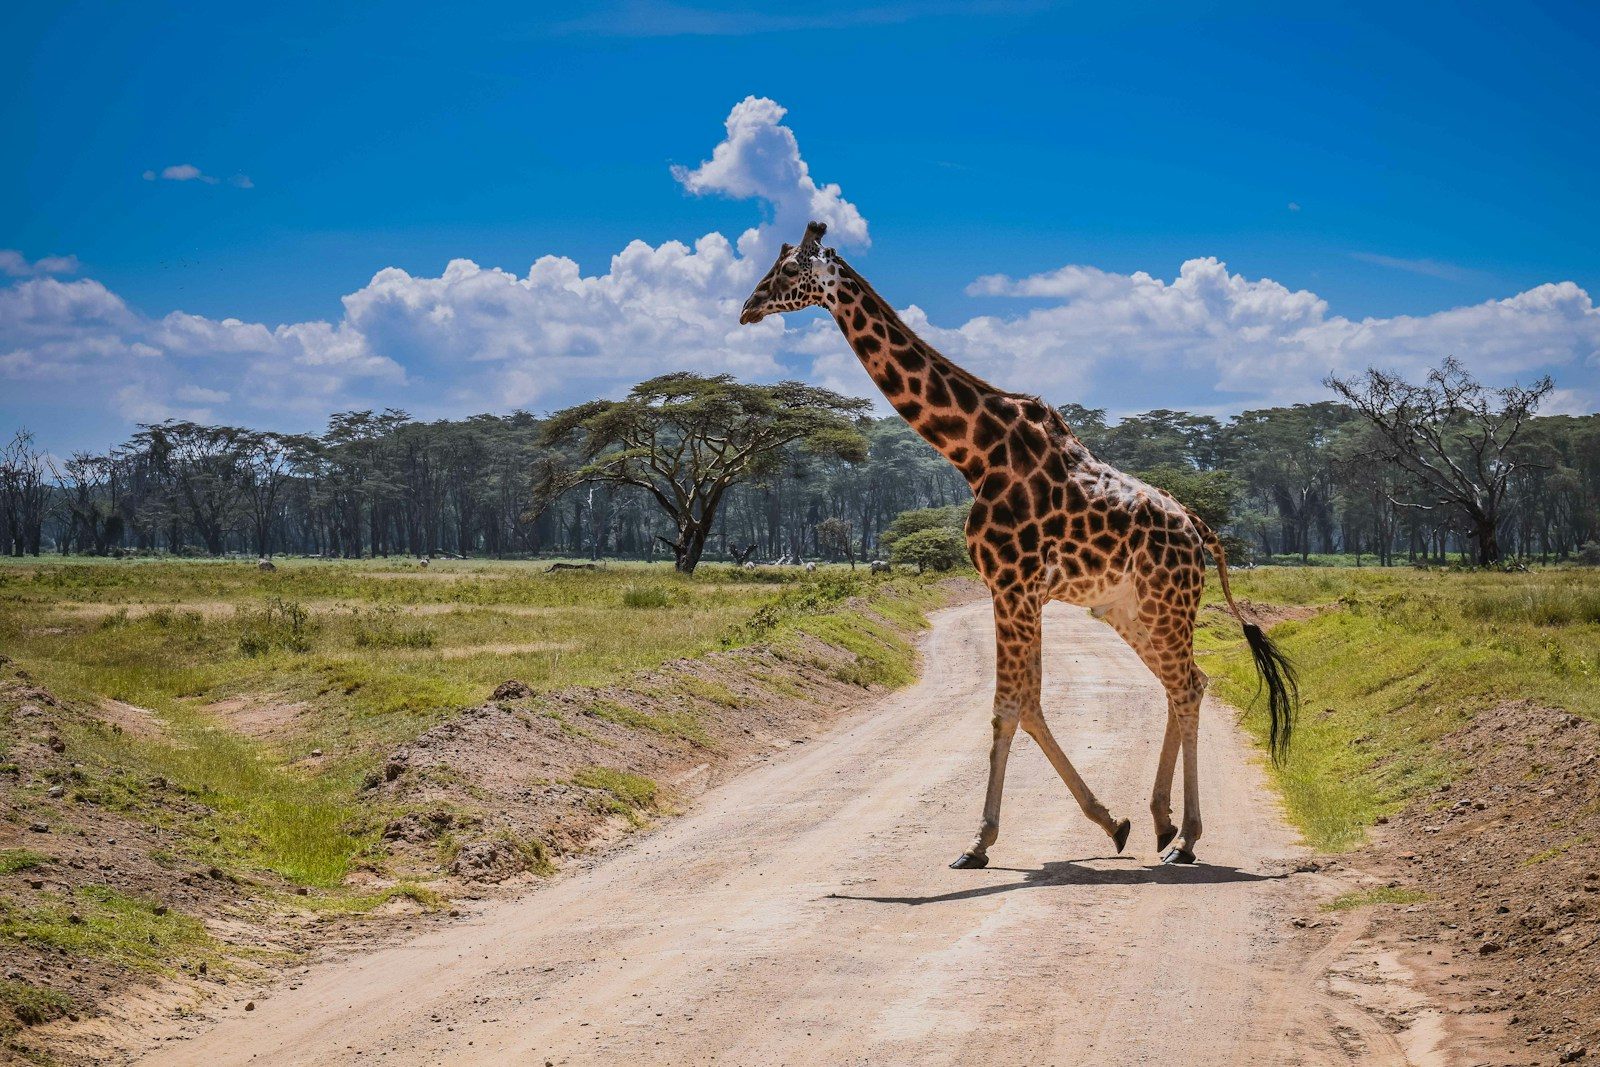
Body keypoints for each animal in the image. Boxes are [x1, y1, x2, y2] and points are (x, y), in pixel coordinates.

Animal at [740, 221, 1298, 867]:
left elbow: (1009, 708)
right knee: (1186, 684)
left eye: (786, 270)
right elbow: (1027, 705)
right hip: (1128, 610)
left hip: (1165, 604)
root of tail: (1197, 528)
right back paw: (1163, 823)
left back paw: (1185, 840)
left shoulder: (1011, 584)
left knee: (1185, 686)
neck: (974, 452)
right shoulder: (1020, 592)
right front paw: (1113, 823)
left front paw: (979, 842)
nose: (748, 308)